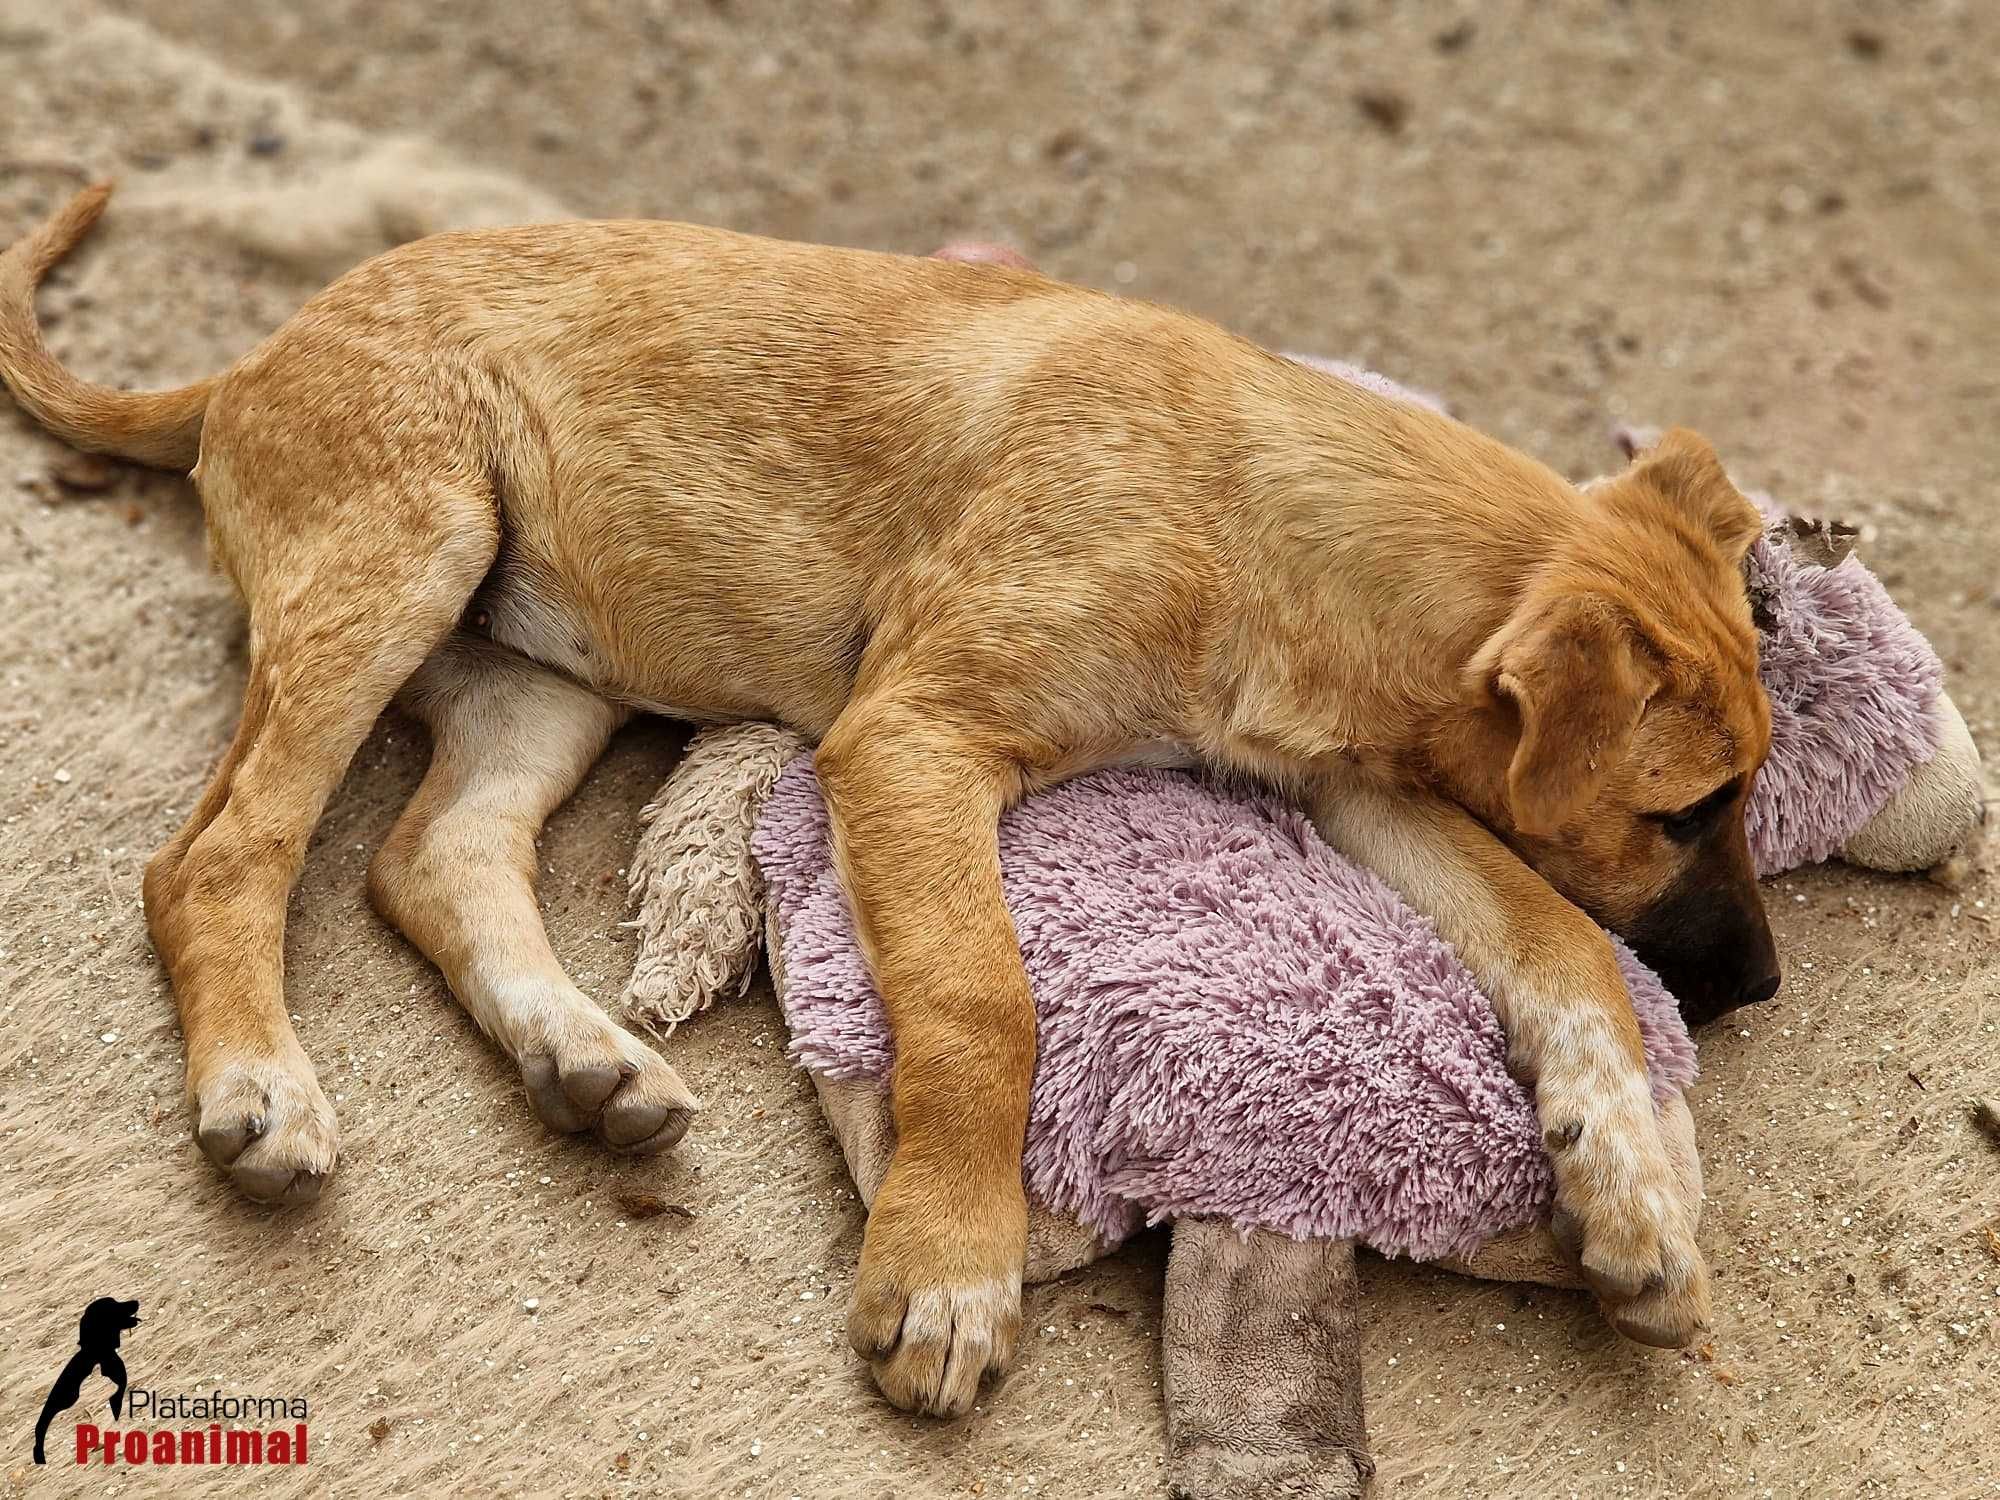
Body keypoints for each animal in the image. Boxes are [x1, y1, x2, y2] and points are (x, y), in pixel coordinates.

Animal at [7, 188, 1776, 1424]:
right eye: (1683, 812)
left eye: (1746, 793)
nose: (1760, 989)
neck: (1258, 505)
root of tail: (252, 360)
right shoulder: (911, 743)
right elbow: (986, 1005)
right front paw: (948, 1269)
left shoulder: (1362, 783)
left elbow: (1558, 943)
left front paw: (1631, 1191)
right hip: (404, 547)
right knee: (217, 856)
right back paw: (262, 1086)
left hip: (540, 675)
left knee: (430, 856)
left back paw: (582, 1057)